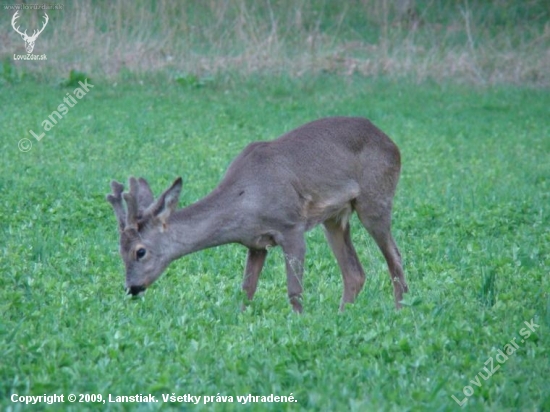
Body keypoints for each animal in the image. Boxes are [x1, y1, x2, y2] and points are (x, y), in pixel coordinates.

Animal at [108, 116, 410, 312]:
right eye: (119, 252)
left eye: (140, 251)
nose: (131, 287)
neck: (245, 202)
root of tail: (392, 143)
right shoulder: (255, 244)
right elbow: (246, 291)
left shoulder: (291, 226)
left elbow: (294, 291)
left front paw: (299, 322)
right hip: (334, 218)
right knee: (355, 273)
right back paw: (342, 314)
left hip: (375, 199)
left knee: (395, 256)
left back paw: (400, 310)